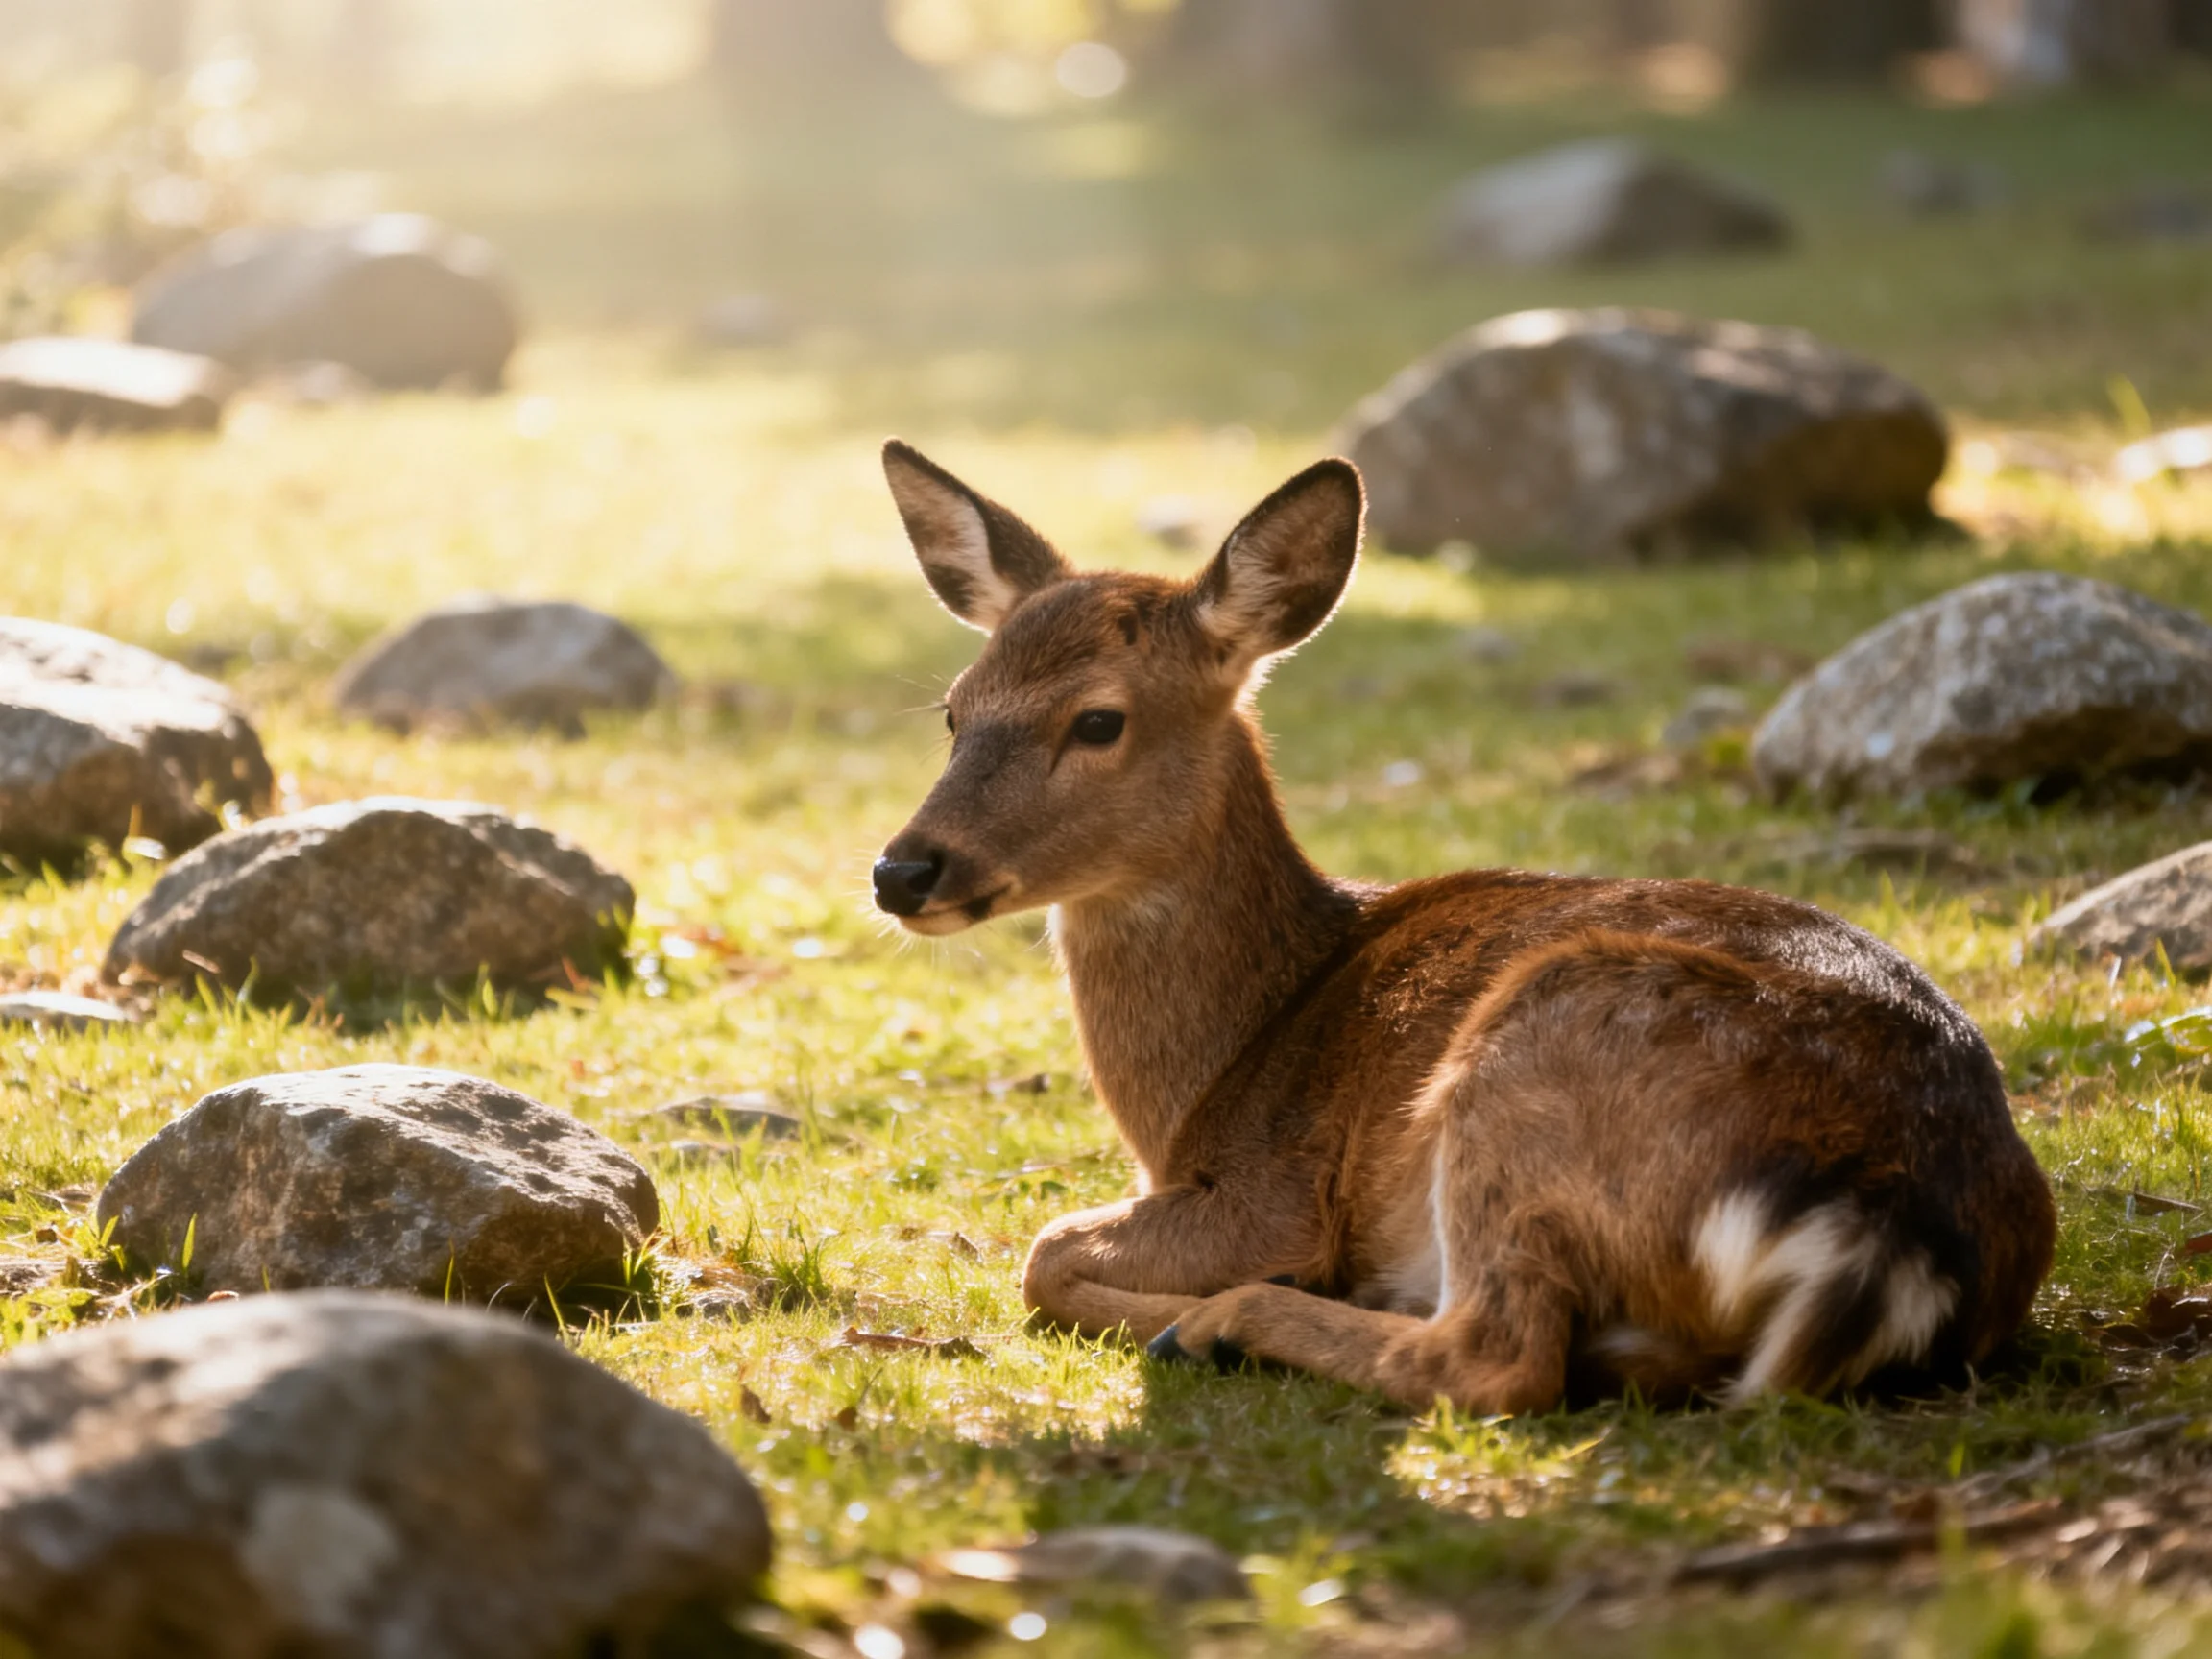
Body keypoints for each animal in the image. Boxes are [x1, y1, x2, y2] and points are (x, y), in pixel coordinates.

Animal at [871, 439, 2055, 1414]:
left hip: (1537, 1051)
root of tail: (1894, 1222)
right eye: (954, 710)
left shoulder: (1273, 1189)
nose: (902, 868)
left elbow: (1045, 1252)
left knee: (1497, 1362)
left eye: (1099, 720)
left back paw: (1220, 1328)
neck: (1210, 1080)